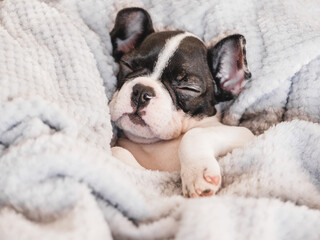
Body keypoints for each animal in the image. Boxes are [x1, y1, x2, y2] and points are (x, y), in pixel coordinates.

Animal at [109, 7, 254, 199]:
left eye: (188, 88)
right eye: (128, 65)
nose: (142, 92)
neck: (156, 144)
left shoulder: (245, 135)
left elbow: (194, 134)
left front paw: (198, 173)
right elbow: (118, 151)